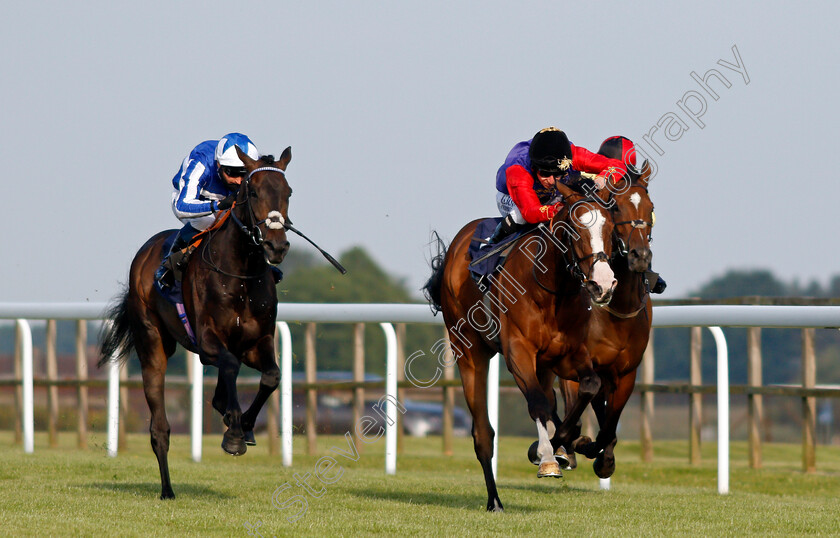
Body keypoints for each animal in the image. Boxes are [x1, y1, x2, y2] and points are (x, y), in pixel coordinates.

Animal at [99, 146, 292, 498]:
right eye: (253, 192)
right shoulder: (207, 342)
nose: (277, 245)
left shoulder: (258, 341)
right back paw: (167, 489)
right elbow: (229, 365)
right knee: (159, 428)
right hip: (152, 344)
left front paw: (243, 427)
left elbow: (271, 376)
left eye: (288, 192)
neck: (240, 275)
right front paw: (234, 434)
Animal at [426, 183, 616, 506]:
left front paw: (566, 444)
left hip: (545, 364)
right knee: (483, 433)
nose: (603, 284)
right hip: (469, 352)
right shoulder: (518, 352)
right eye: (576, 229)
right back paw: (495, 501)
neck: (551, 290)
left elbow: (588, 387)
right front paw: (548, 458)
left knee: (552, 398)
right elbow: (538, 403)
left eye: (611, 228)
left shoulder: (570, 353)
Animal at [556, 162, 660, 478]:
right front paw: (575, 444)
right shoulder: (577, 363)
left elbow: (610, 424)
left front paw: (603, 458)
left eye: (651, 207)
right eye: (615, 208)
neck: (616, 310)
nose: (640, 256)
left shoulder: (626, 373)